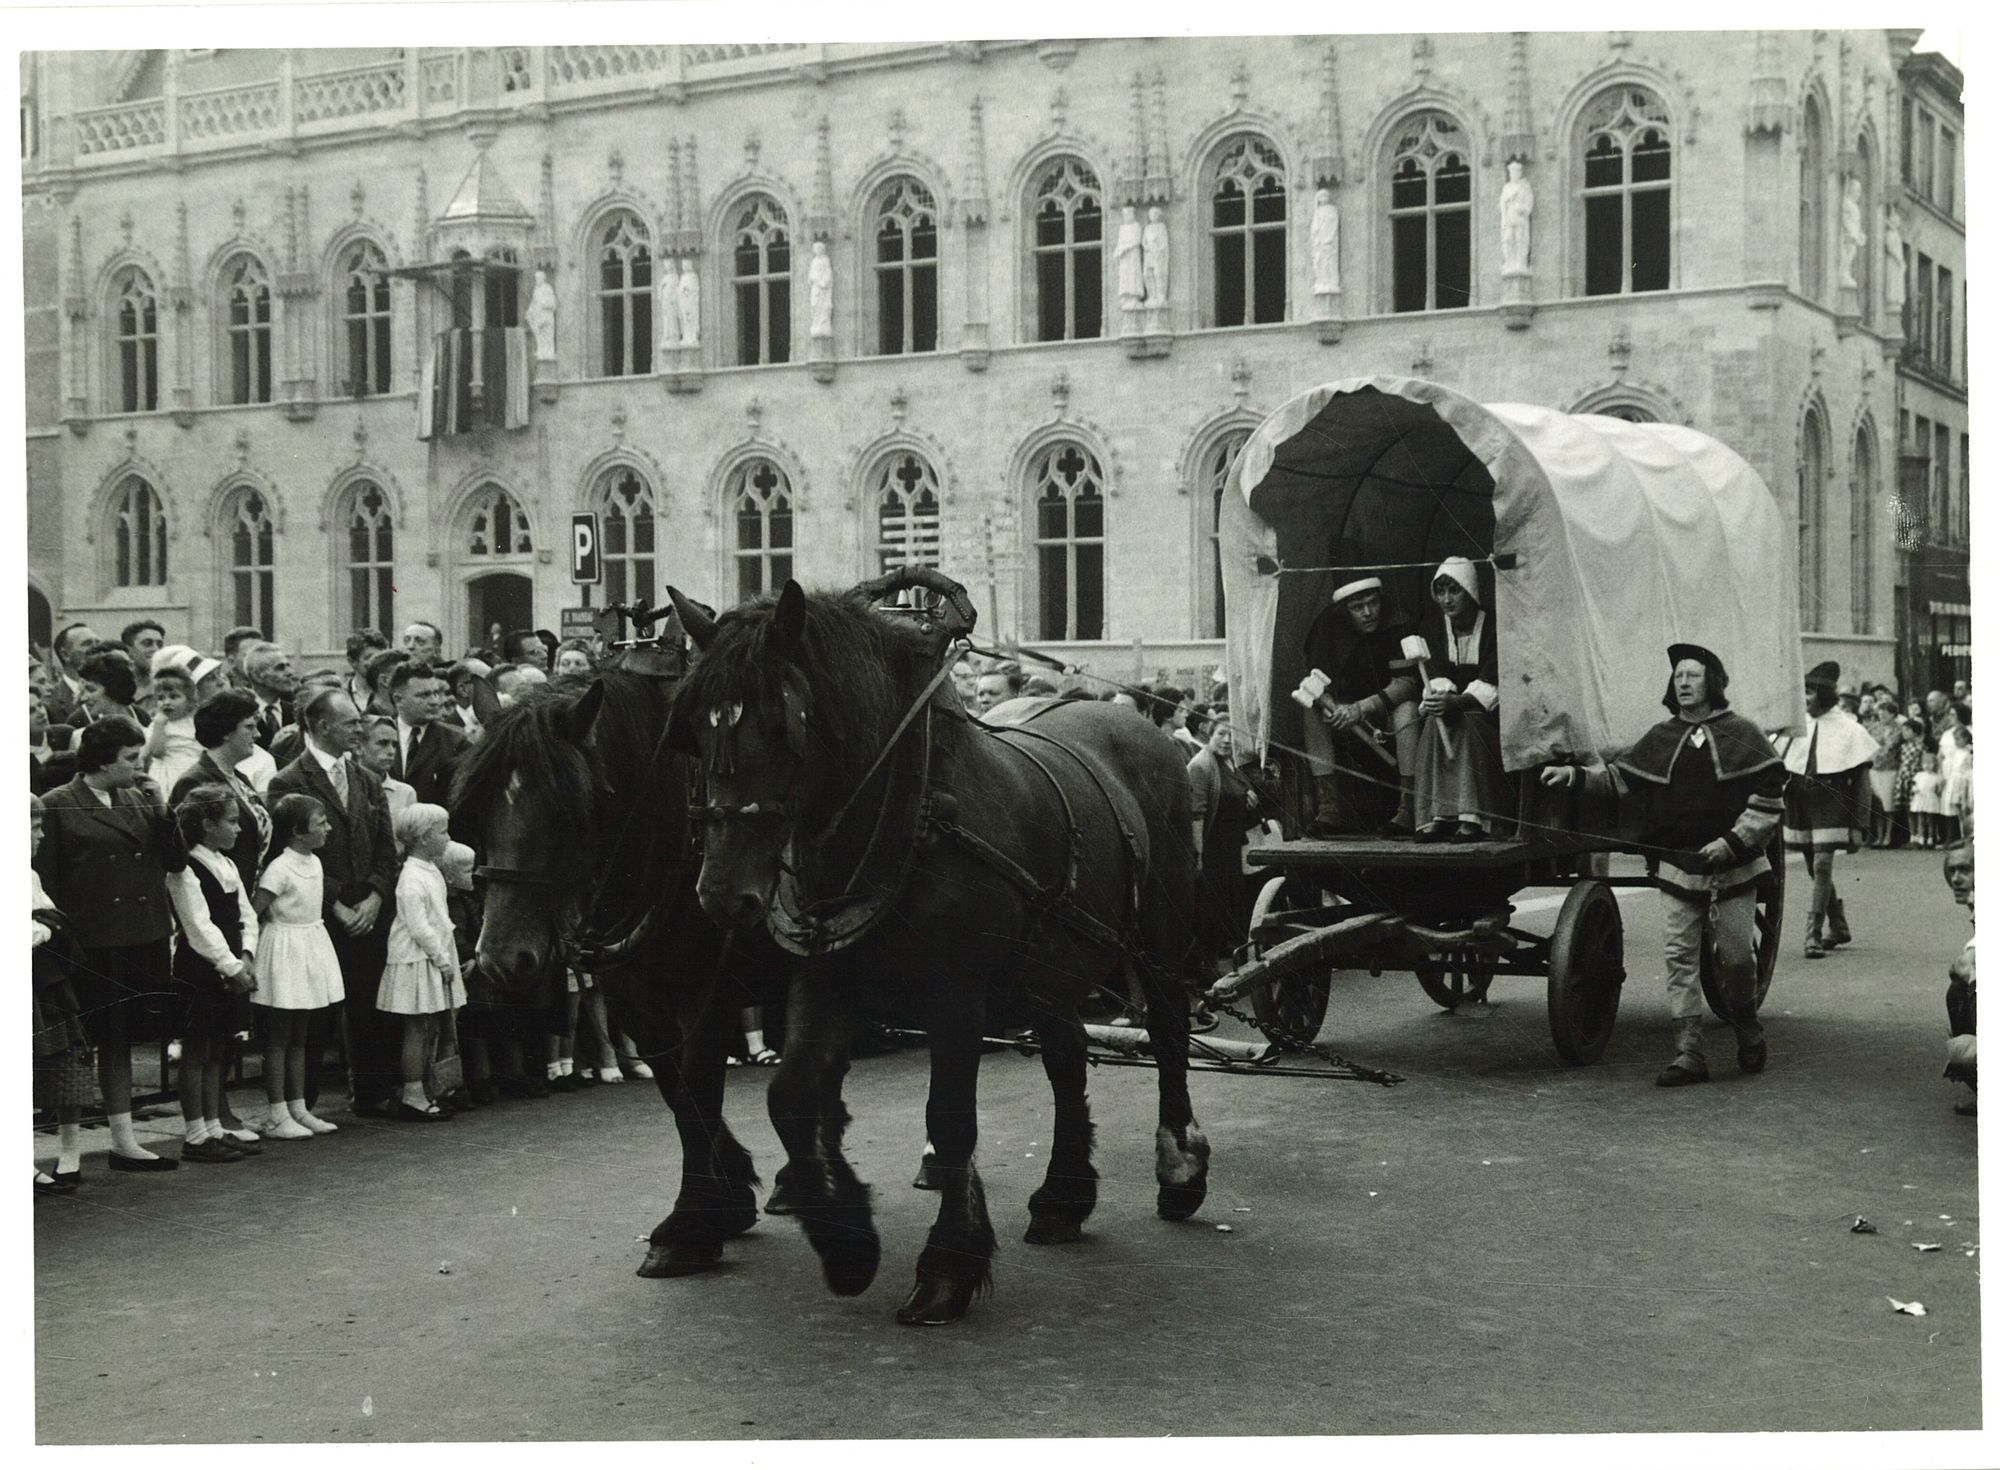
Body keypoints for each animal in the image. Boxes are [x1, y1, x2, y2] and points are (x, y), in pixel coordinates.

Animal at [454, 668, 780, 1280]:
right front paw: (725, 1201)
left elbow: (697, 1091)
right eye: (476, 808)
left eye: (569, 811)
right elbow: (678, 1091)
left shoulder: (706, 993)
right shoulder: (635, 996)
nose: (500, 959)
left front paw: (693, 1224)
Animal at [664, 576, 1208, 1336]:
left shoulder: (956, 995)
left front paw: (948, 1267)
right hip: (1051, 965)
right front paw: (846, 1242)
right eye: (692, 729)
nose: (722, 895)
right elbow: (791, 1096)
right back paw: (1062, 1198)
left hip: (1158, 932)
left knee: (1168, 1031)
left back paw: (1180, 1166)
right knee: (1067, 1056)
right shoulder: (828, 977)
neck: (911, 810)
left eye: (782, 725)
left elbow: (949, 1122)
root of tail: (1136, 723)